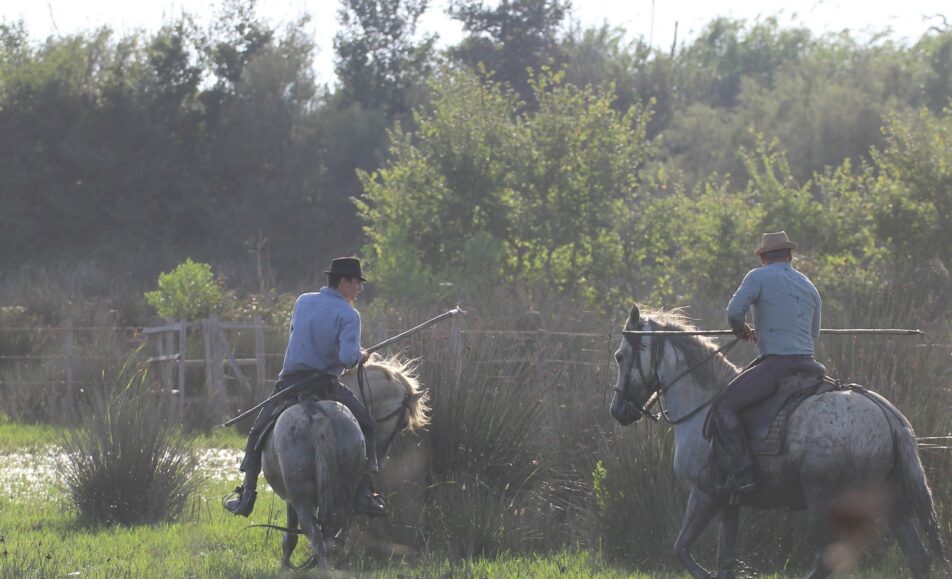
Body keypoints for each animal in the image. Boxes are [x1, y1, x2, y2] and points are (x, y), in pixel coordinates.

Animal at [256, 354, 428, 572]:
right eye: (403, 423)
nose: (379, 460)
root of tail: (317, 415)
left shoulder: (290, 500)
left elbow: (290, 537)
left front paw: (285, 567)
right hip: (344, 492)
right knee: (335, 537)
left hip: (301, 499)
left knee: (317, 538)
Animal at [608, 306, 944, 576]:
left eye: (620, 356)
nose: (618, 411)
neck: (705, 401)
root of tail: (887, 416)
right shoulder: (729, 504)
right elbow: (723, 562)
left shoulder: (704, 495)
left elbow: (682, 550)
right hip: (893, 505)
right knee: (918, 558)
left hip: (826, 503)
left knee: (827, 560)